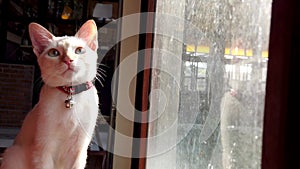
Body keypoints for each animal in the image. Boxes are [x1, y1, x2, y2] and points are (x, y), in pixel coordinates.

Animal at [0, 19, 100, 168]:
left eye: (79, 50)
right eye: (54, 53)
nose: (68, 60)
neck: (70, 94)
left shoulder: (79, 150)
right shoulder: (44, 148)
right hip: (12, 154)